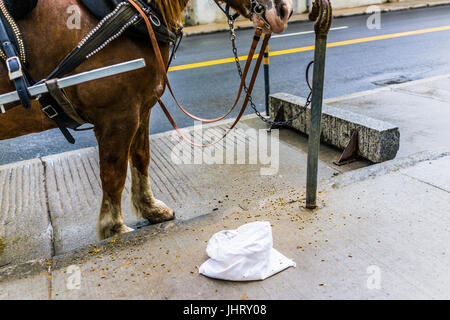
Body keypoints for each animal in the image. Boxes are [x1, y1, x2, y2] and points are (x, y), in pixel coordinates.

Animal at [0, 0, 294, 240]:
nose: (284, 10)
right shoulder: (117, 115)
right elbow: (114, 173)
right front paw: (114, 228)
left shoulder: (141, 108)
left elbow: (141, 157)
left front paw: (149, 208)